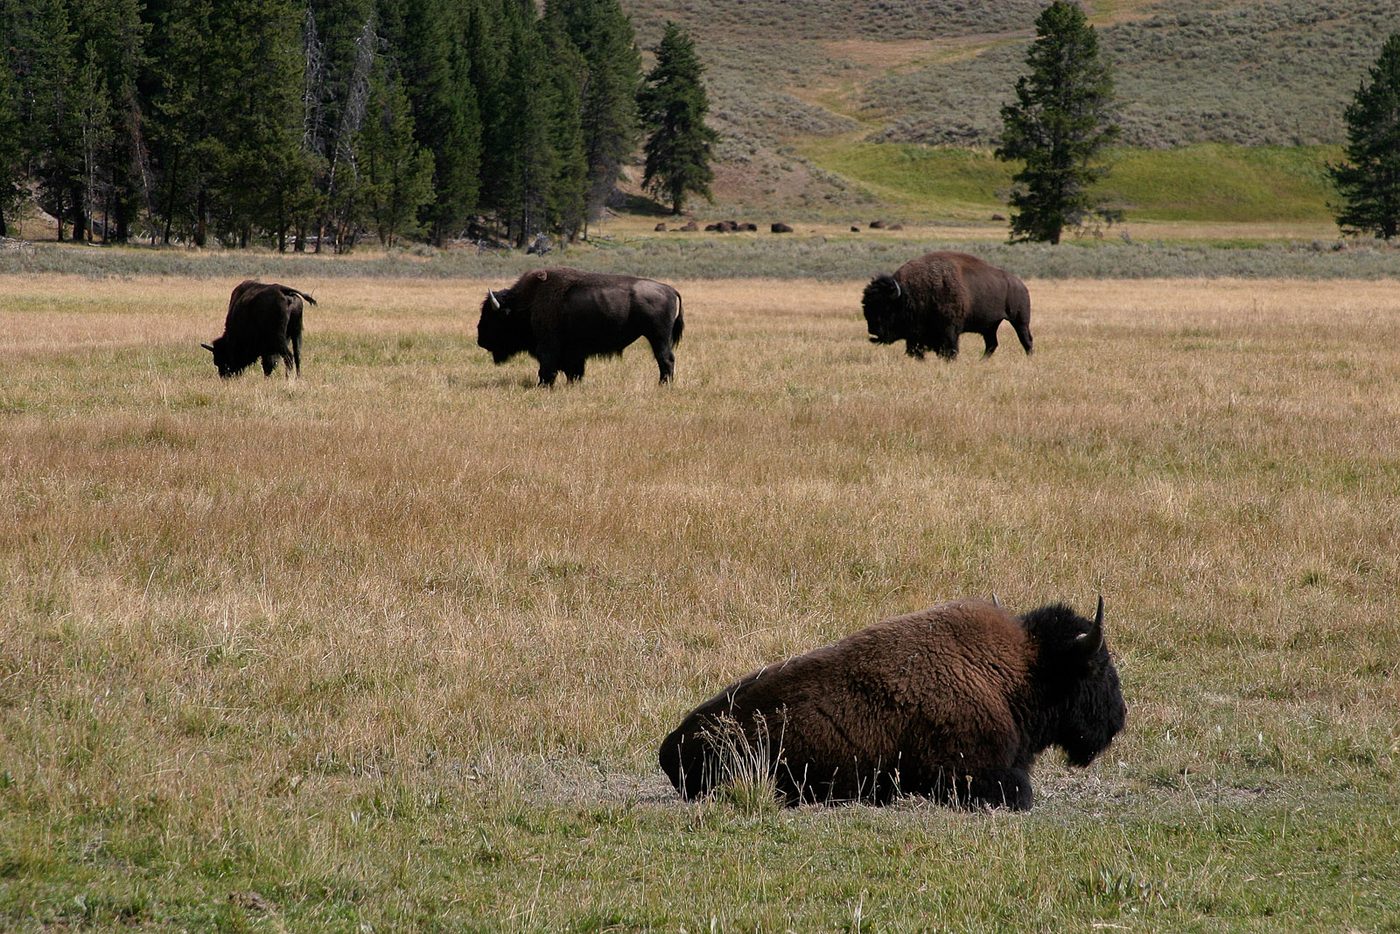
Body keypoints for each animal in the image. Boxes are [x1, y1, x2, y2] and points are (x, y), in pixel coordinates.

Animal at [477, 268, 684, 386]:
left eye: (492, 317)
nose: (480, 341)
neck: (528, 302)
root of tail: (670, 289)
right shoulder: (574, 353)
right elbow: (574, 370)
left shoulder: (548, 346)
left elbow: (546, 367)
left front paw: (543, 385)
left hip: (657, 337)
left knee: (665, 359)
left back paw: (663, 385)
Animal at [863, 251, 1032, 359]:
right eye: (866, 307)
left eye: (886, 307)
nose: (872, 330)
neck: (908, 294)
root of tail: (1020, 284)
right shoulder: (915, 336)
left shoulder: (949, 330)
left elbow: (950, 349)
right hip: (990, 326)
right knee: (992, 344)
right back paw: (981, 361)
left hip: (1019, 320)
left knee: (1026, 339)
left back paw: (1029, 358)